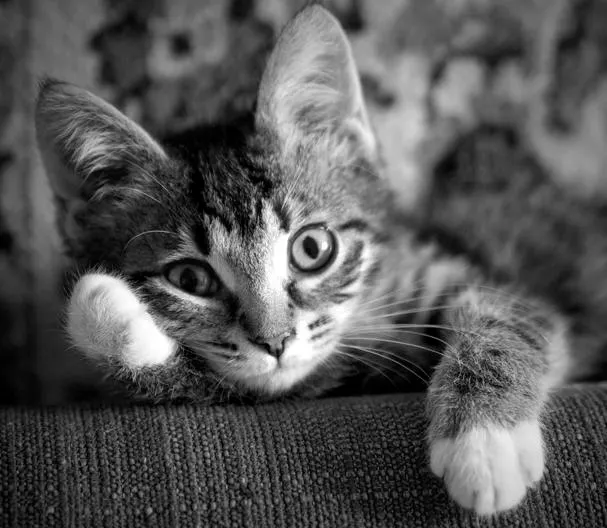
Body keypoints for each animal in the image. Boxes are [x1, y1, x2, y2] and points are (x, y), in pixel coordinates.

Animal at [35, 5, 607, 516]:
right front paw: (108, 317)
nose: (275, 342)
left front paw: (484, 443)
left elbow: (505, 316)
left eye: (312, 249)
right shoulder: (312, 381)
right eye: (190, 278)